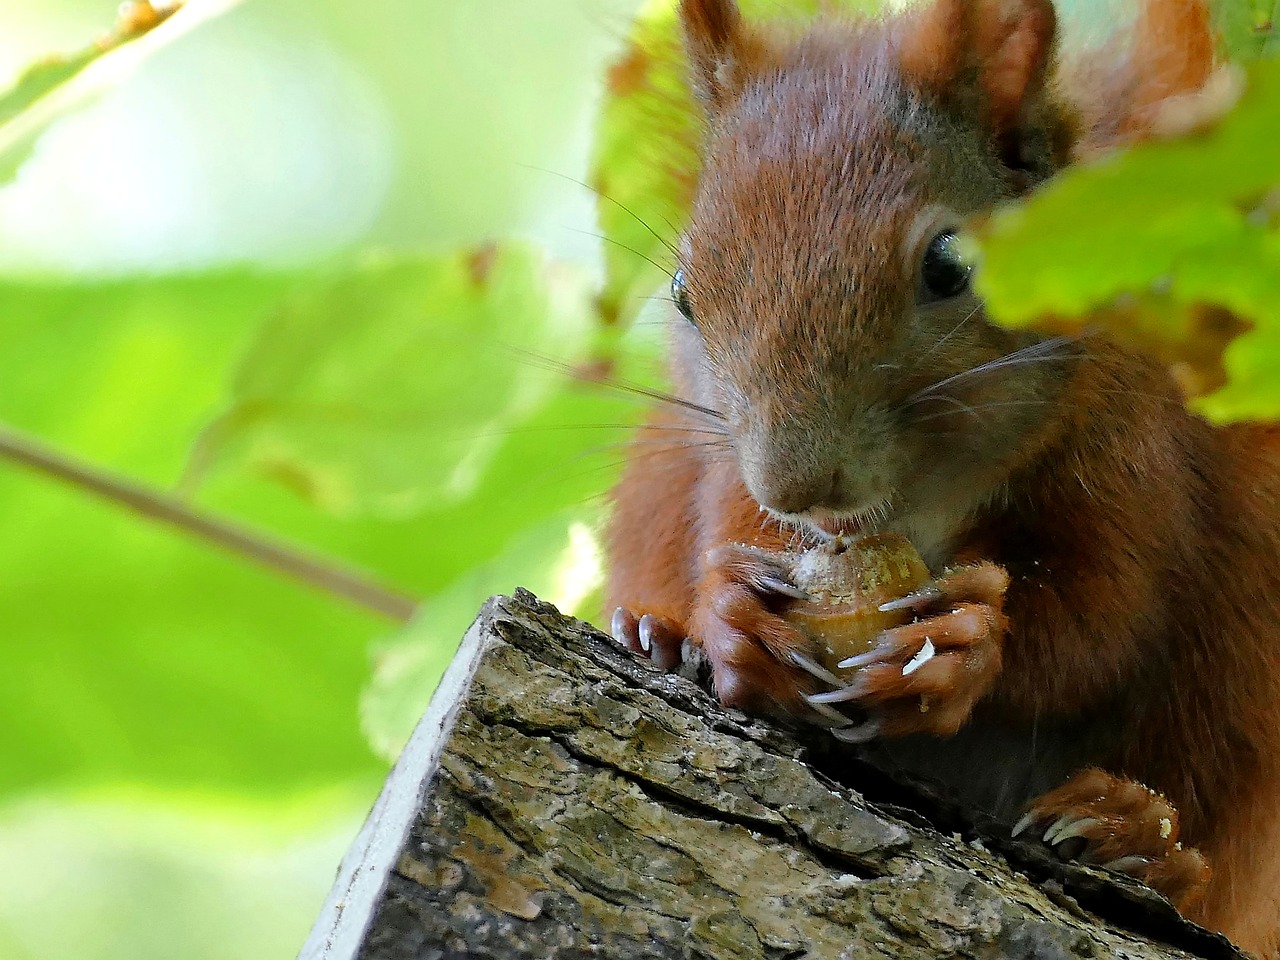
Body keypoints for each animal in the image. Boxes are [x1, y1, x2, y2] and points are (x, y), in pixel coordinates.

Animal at [604, 0, 1280, 957]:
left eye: (950, 266)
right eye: (682, 290)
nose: (799, 488)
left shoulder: (1137, 446)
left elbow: (1106, 613)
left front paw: (964, 642)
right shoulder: (717, 463)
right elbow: (726, 525)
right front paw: (730, 618)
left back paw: (1140, 839)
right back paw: (655, 635)